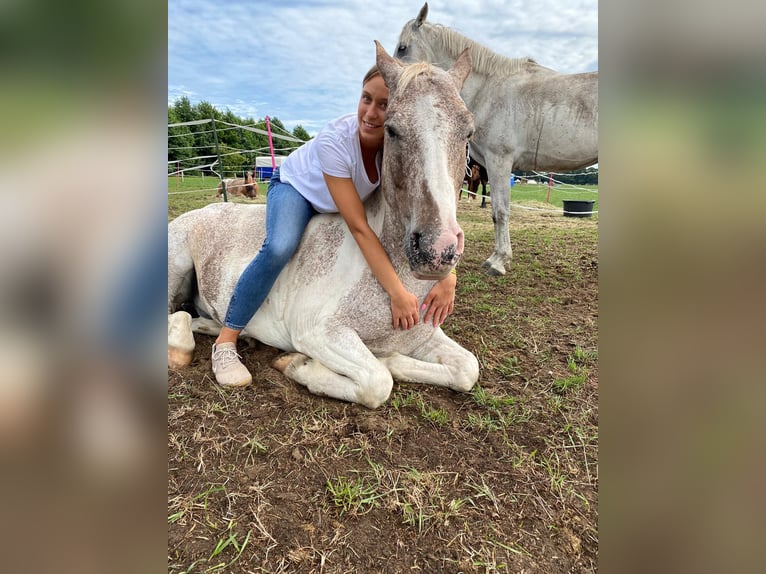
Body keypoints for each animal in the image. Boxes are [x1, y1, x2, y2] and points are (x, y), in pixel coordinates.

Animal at [168, 41, 480, 410]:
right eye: (391, 129)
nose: (437, 250)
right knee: (173, 318)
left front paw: (392, 359)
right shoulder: (318, 332)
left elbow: (466, 368)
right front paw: (298, 365)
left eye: (469, 132)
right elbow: (378, 382)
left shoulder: (423, 336)